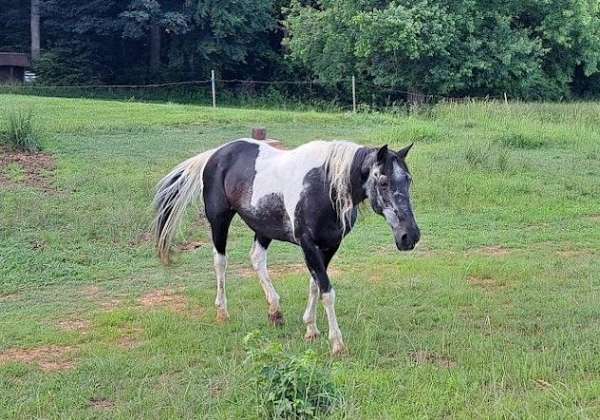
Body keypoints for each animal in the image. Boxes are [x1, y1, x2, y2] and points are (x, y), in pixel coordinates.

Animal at [152, 138, 420, 354]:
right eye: (383, 182)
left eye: (408, 180)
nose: (410, 236)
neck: (323, 187)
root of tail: (215, 154)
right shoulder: (307, 244)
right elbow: (327, 291)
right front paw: (336, 343)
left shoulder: (329, 246)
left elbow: (315, 285)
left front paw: (311, 329)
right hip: (219, 220)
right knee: (220, 263)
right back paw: (222, 312)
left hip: (263, 228)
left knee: (257, 259)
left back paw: (275, 312)